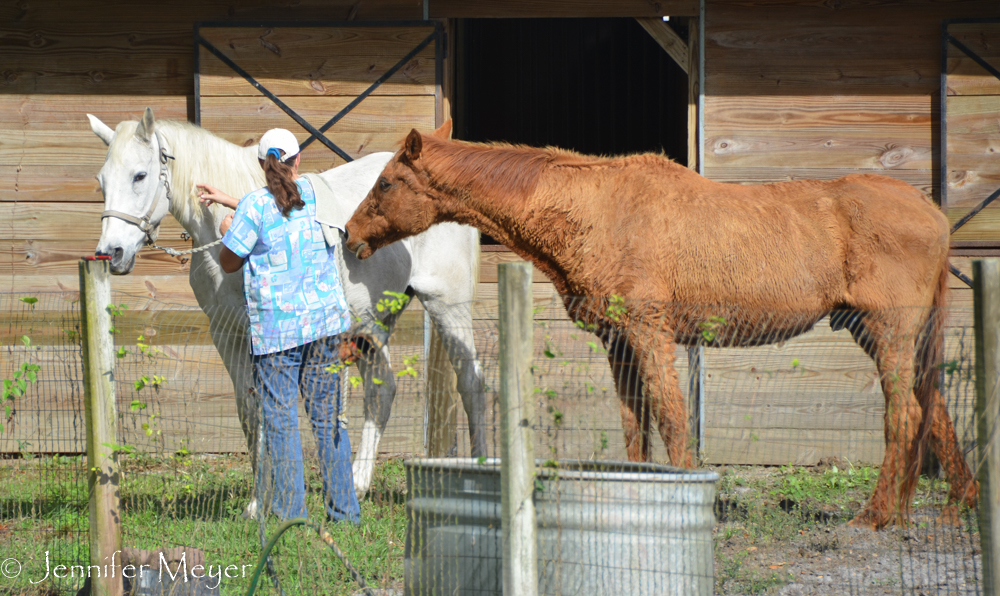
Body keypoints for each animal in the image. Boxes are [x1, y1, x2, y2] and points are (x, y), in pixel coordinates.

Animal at [88, 108, 486, 516]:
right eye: (102, 180)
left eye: (140, 175)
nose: (111, 253)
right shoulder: (226, 334)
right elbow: (251, 409)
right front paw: (257, 502)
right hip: (372, 326)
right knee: (382, 391)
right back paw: (358, 484)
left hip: (446, 305)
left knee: (471, 383)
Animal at [344, 122, 976, 532]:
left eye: (387, 183)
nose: (349, 236)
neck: (593, 208)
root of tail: (932, 213)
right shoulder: (617, 341)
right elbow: (635, 425)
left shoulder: (650, 332)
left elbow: (671, 417)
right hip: (883, 335)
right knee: (934, 408)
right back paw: (953, 504)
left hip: (887, 333)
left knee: (907, 414)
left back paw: (876, 516)